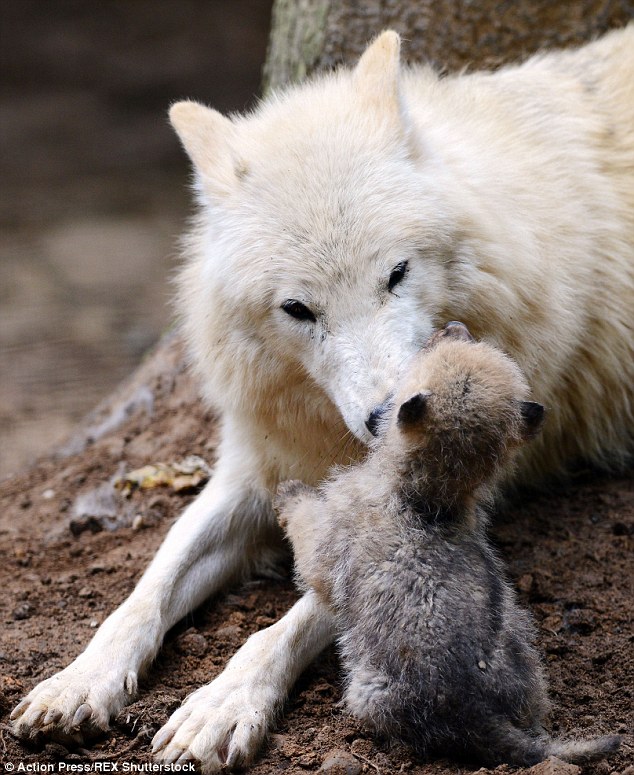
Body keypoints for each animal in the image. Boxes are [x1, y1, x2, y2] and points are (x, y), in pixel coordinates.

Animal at [275, 322, 621, 767]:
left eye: (431, 354)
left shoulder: (325, 540)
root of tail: (480, 712)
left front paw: (287, 491)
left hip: (366, 689)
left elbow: (303, 520)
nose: (451, 327)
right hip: (526, 661)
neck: (430, 499)